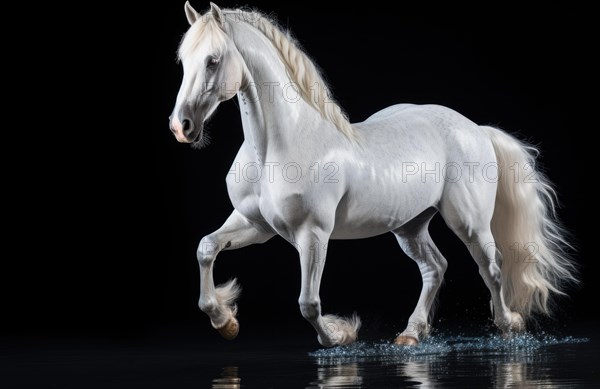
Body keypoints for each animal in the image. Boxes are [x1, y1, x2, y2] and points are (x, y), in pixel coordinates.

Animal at [168, 1, 576, 344]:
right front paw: (225, 321)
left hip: (470, 223)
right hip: (410, 226)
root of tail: (477, 129)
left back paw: (509, 326)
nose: (181, 126)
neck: (277, 147)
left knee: (491, 267)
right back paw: (411, 334)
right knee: (435, 268)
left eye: (213, 60)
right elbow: (206, 247)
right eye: (184, 61)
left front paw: (338, 336)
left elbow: (308, 302)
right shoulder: (256, 224)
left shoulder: (312, 234)